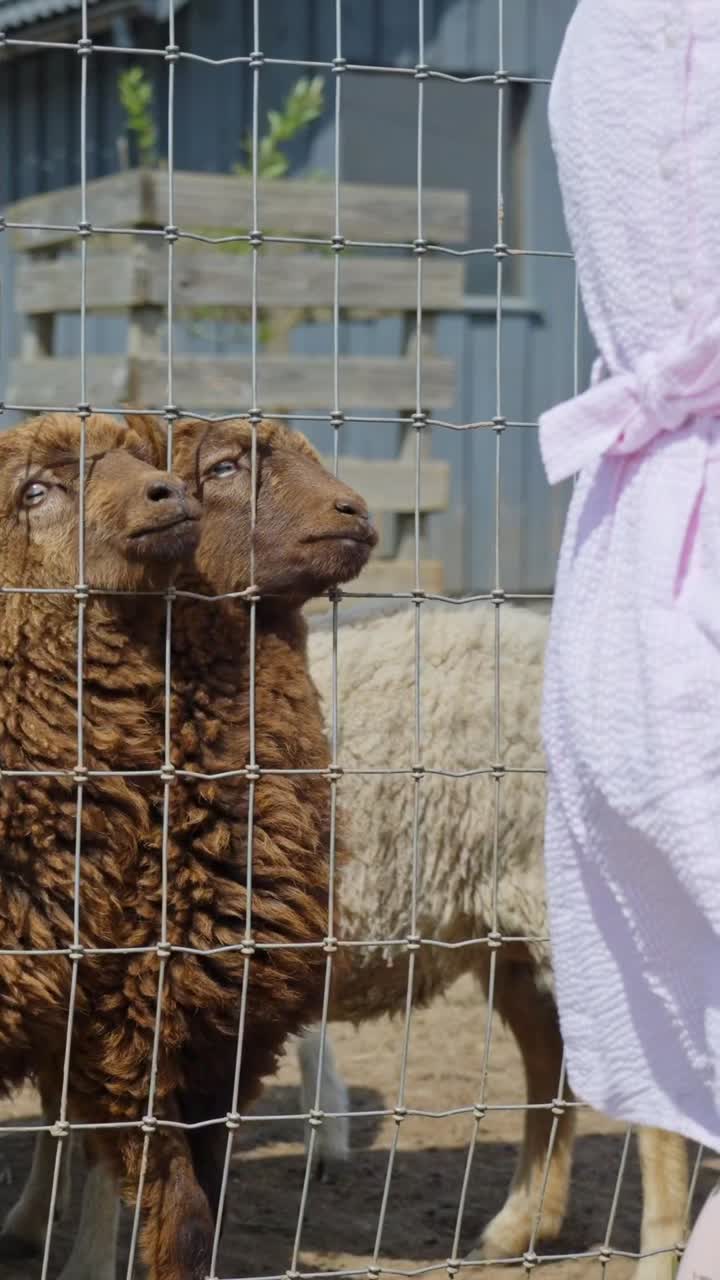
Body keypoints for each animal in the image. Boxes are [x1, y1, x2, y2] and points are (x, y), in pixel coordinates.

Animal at [1, 413, 377, 1280]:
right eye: (227, 466)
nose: (355, 512)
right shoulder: (128, 1032)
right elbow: (182, 1219)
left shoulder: (225, 1038)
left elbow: (203, 1209)